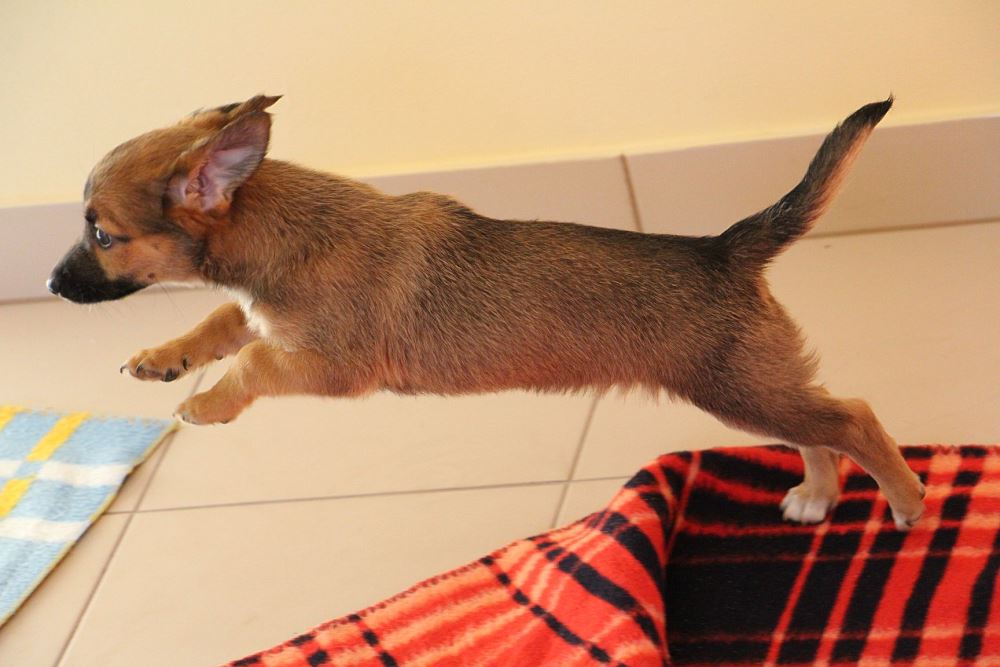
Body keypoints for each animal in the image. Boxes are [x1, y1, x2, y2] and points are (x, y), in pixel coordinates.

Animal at [47, 95, 925, 529]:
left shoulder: (333, 365)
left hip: (737, 386)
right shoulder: (265, 317)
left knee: (853, 416)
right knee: (819, 427)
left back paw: (908, 499)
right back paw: (817, 495)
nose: (53, 287)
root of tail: (725, 248)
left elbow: (254, 357)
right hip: (752, 384)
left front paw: (207, 403)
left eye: (103, 233)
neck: (284, 229)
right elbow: (221, 325)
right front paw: (163, 357)